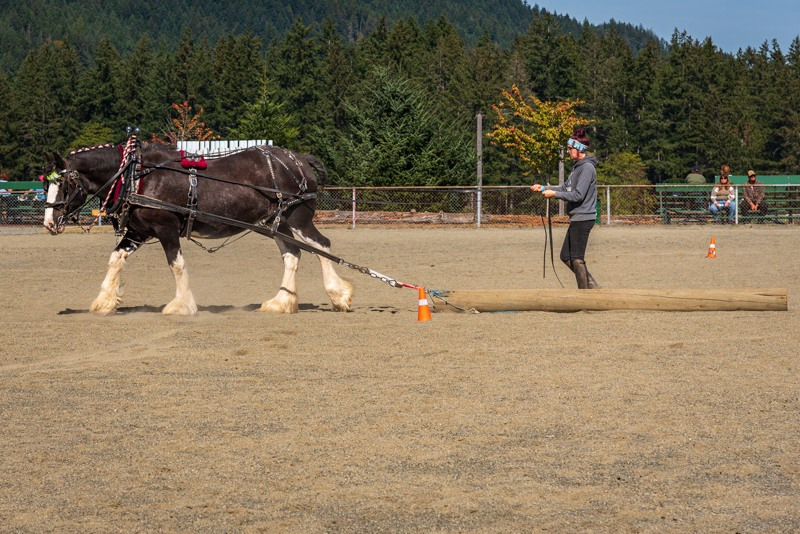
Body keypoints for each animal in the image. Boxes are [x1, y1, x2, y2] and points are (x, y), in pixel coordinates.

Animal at [44, 140, 354, 316]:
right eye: (47, 181)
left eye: (65, 183)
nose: (48, 223)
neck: (136, 177)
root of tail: (299, 159)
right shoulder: (138, 231)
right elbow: (115, 259)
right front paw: (104, 301)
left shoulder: (166, 228)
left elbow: (177, 265)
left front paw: (181, 305)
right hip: (275, 223)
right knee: (292, 255)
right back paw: (281, 302)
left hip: (298, 218)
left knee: (322, 246)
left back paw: (339, 295)